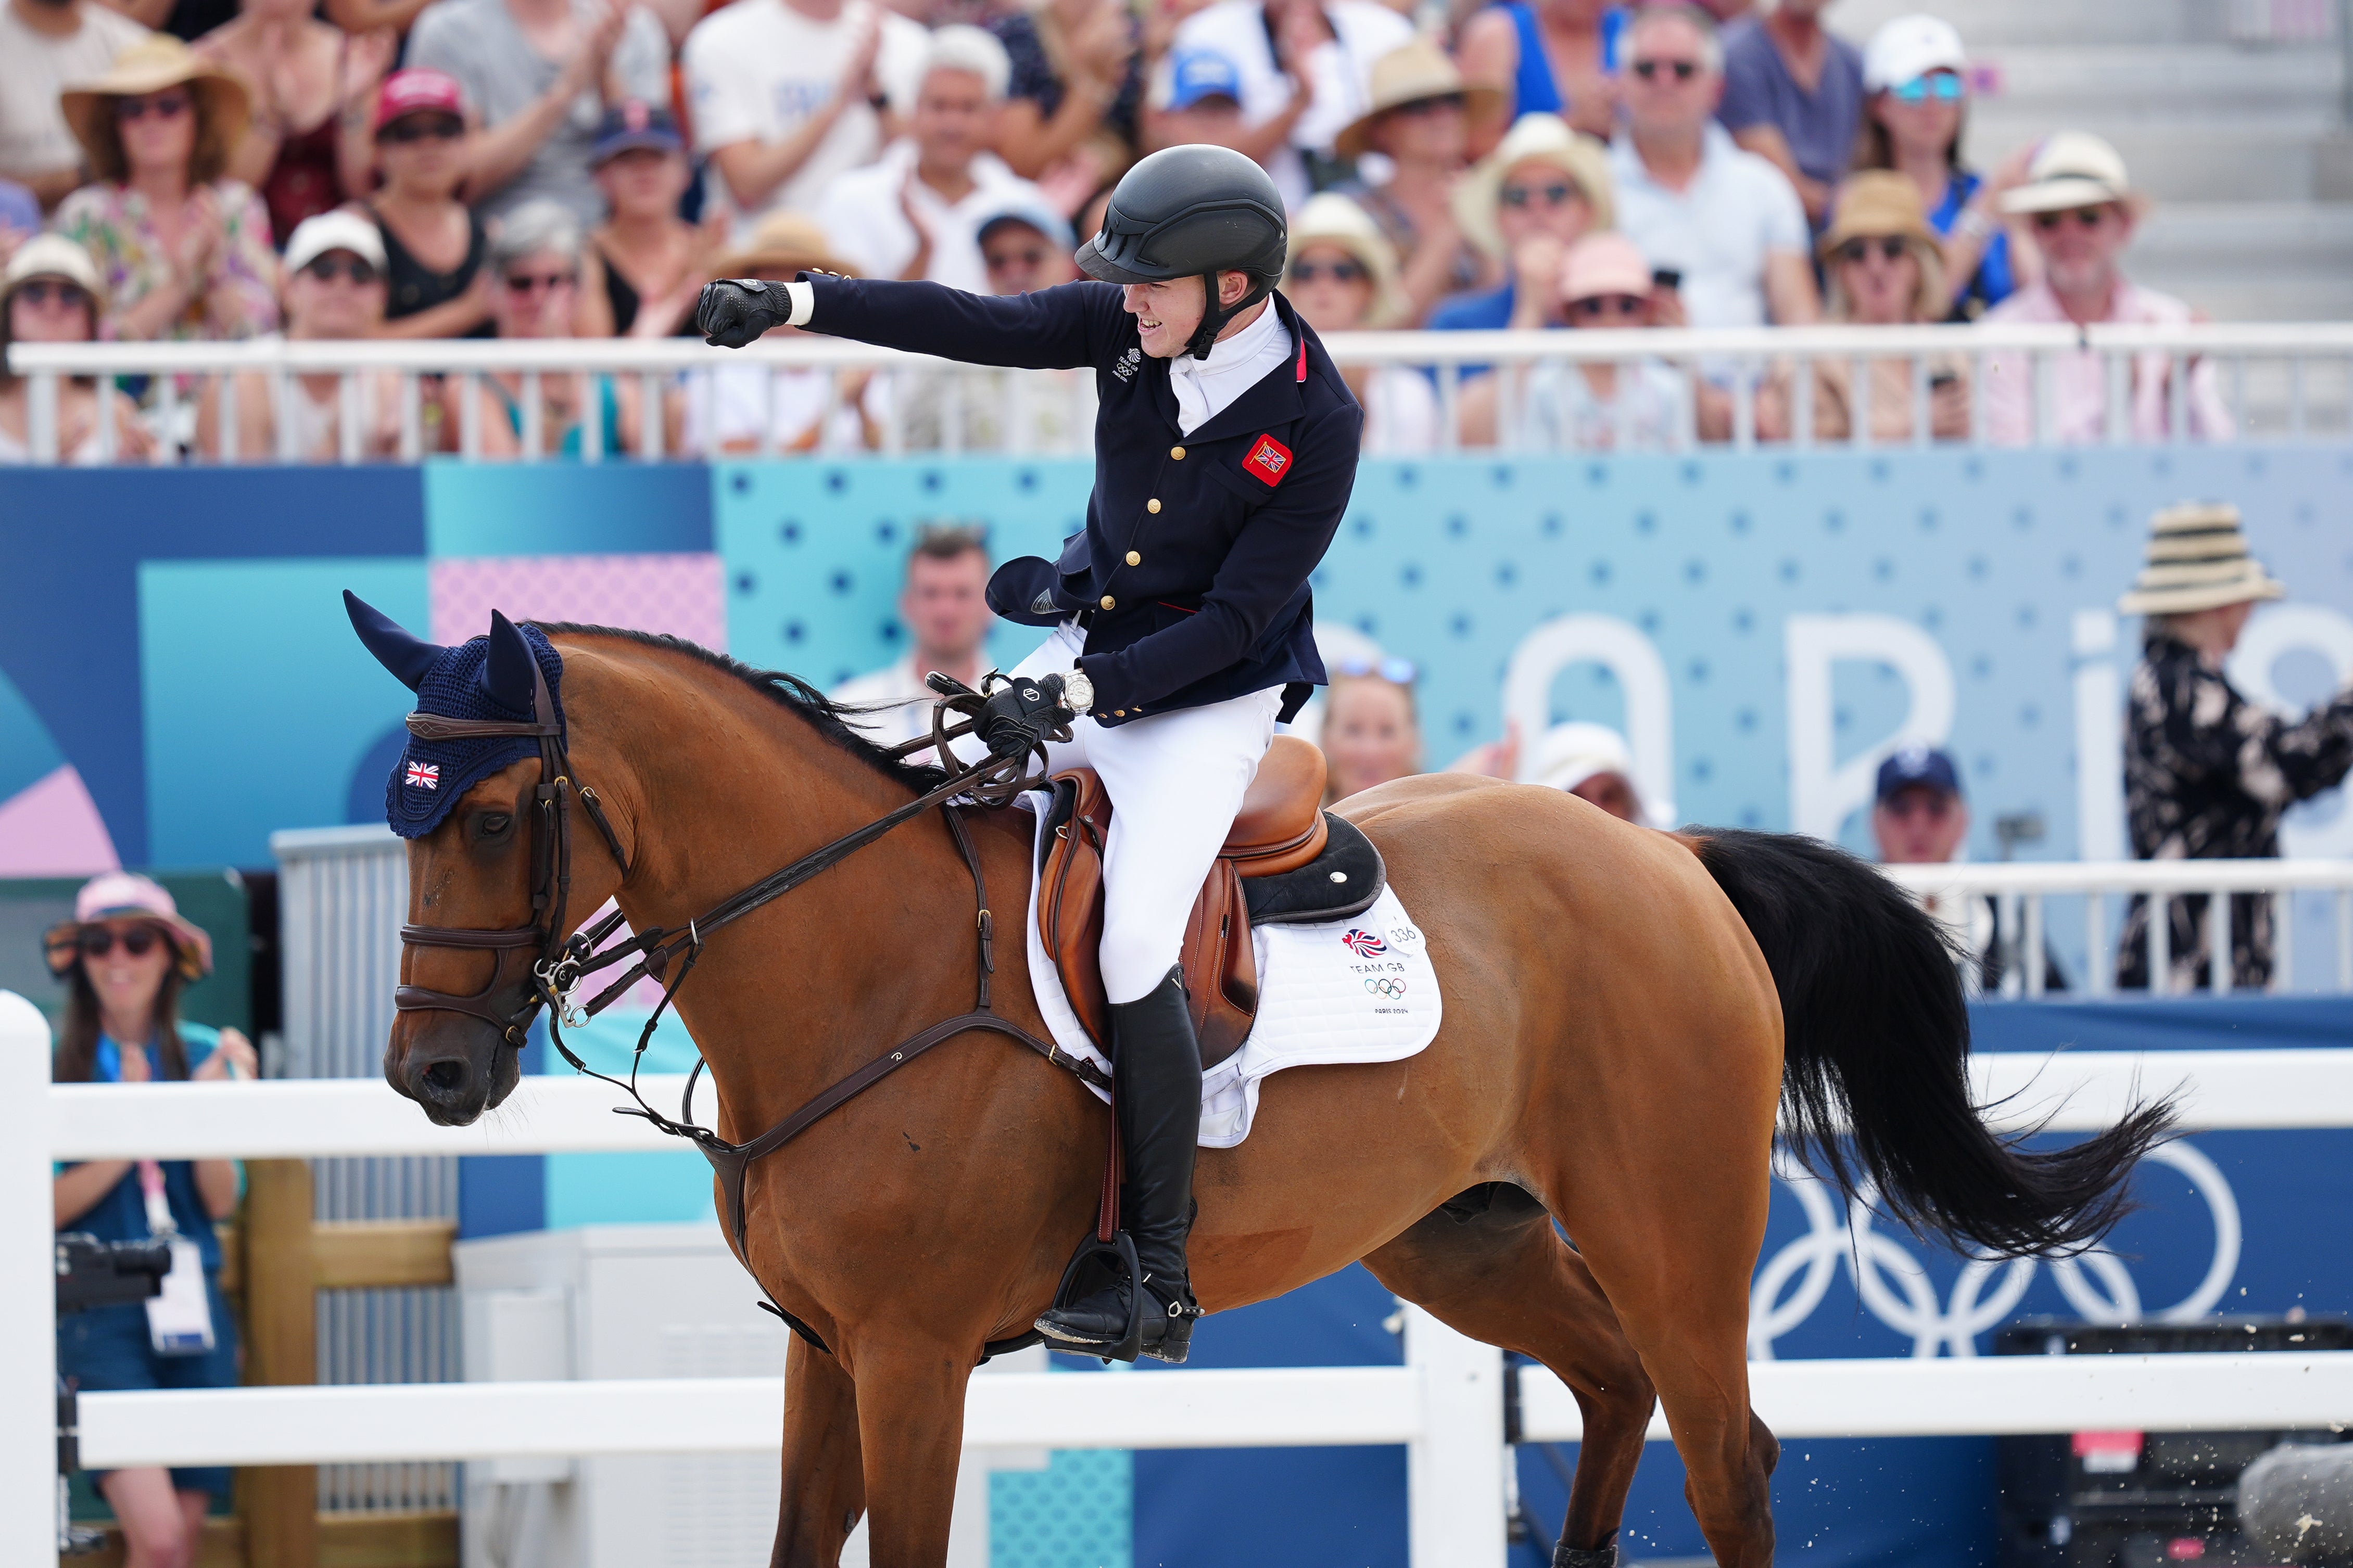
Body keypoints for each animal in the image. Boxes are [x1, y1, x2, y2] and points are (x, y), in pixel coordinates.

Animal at [381, 620, 2165, 1568]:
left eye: (493, 816)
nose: (430, 1072)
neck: (859, 955)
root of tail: (1663, 852)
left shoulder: (910, 1355)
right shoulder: (825, 1348)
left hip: (1674, 1236)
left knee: (1728, 1454)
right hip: (1465, 1235)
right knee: (1610, 1390)